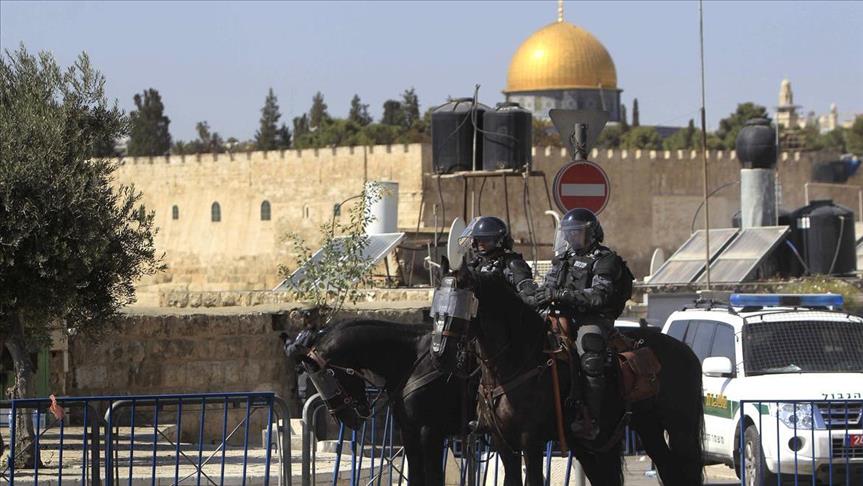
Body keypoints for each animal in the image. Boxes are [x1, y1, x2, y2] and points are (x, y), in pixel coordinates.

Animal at [283, 319, 476, 486]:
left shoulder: (430, 431)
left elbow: (434, 478)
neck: (413, 361)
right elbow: (416, 477)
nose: (346, 419)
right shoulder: (410, 431)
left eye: (326, 377)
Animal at [453, 266, 705, 486]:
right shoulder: (503, 443)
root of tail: (686, 350)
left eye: (457, 302)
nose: (444, 348)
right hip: (642, 429)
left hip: (680, 431)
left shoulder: (530, 442)